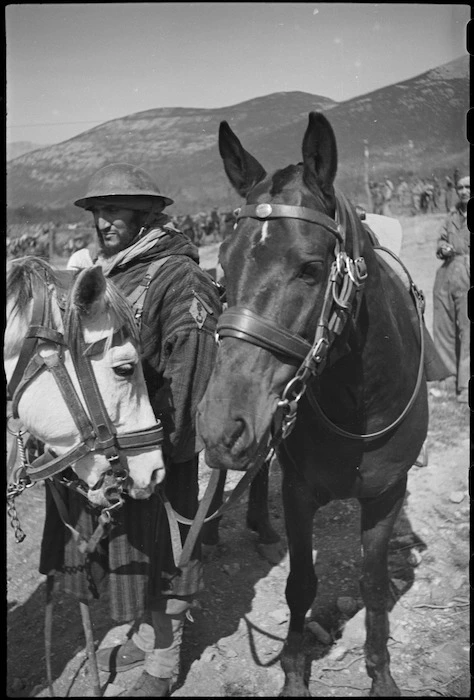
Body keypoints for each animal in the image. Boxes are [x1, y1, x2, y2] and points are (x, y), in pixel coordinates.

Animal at [196, 113, 430, 696]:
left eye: (309, 268)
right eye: (223, 266)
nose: (222, 425)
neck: (359, 401)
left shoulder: (387, 495)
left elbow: (374, 586)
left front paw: (381, 675)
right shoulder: (300, 492)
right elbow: (300, 585)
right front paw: (294, 674)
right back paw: (216, 530)